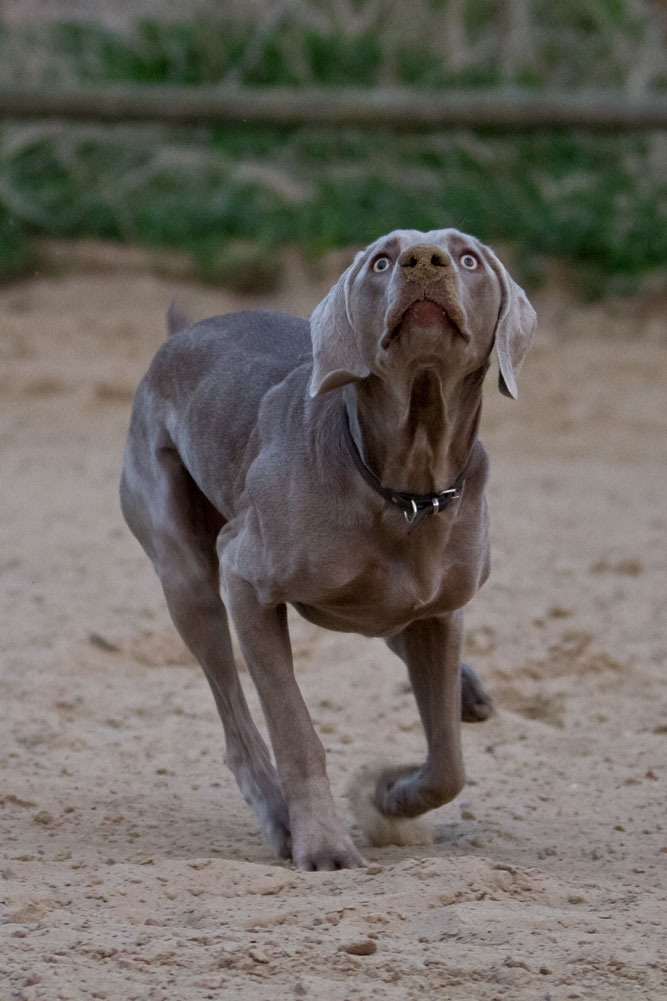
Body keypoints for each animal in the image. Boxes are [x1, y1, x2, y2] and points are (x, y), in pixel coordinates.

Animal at [120, 227, 536, 868]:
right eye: (382, 261)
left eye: (467, 257)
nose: (424, 259)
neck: (407, 492)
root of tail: (180, 335)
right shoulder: (246, 582)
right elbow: (294, 731)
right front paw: (324, 844)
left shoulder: (443, 613)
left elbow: (449, 763)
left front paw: (388, 795)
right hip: (186, 574)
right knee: (237, 724)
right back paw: (279, 818)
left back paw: (468, 693)